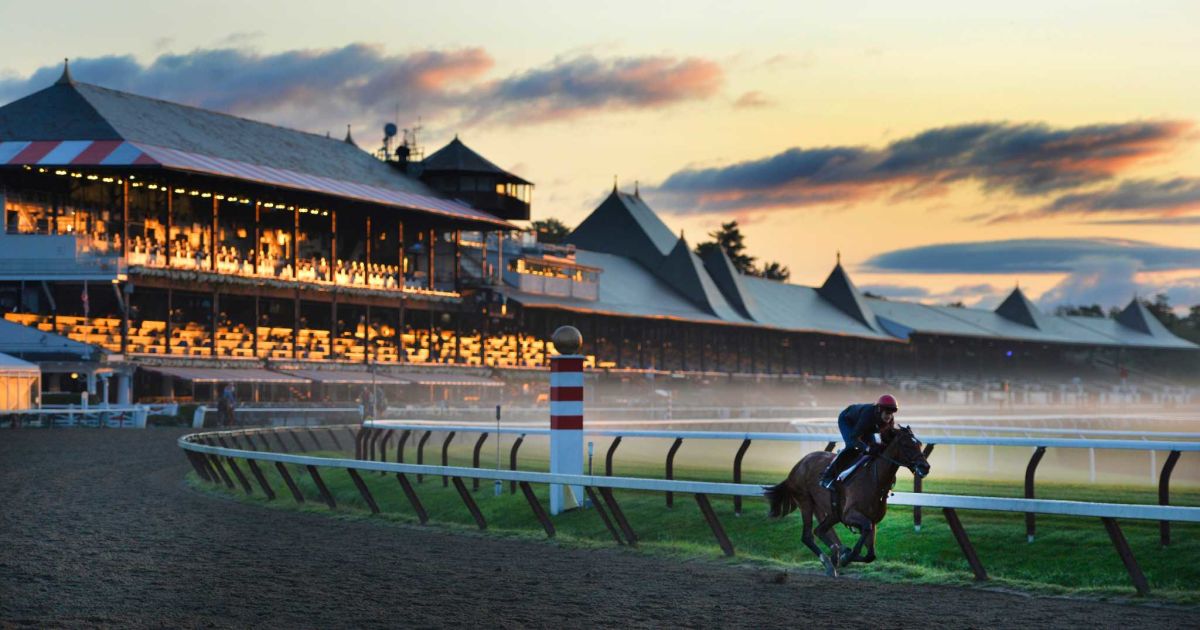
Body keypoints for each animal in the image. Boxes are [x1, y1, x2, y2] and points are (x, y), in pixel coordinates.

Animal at [763, 424, 931, 578]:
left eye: (919, 443)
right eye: (906, 444)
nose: (925, 467)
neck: (874, 480)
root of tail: (798, 464)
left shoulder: (872, 520)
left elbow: (871, 555)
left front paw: (845, 554)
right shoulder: (850, 515)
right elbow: (863, 537)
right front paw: (846, 556)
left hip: (831, 511)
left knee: (820, 530)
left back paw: (835, 555)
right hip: (805, 501)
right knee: (808, 536)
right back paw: (829, 562)